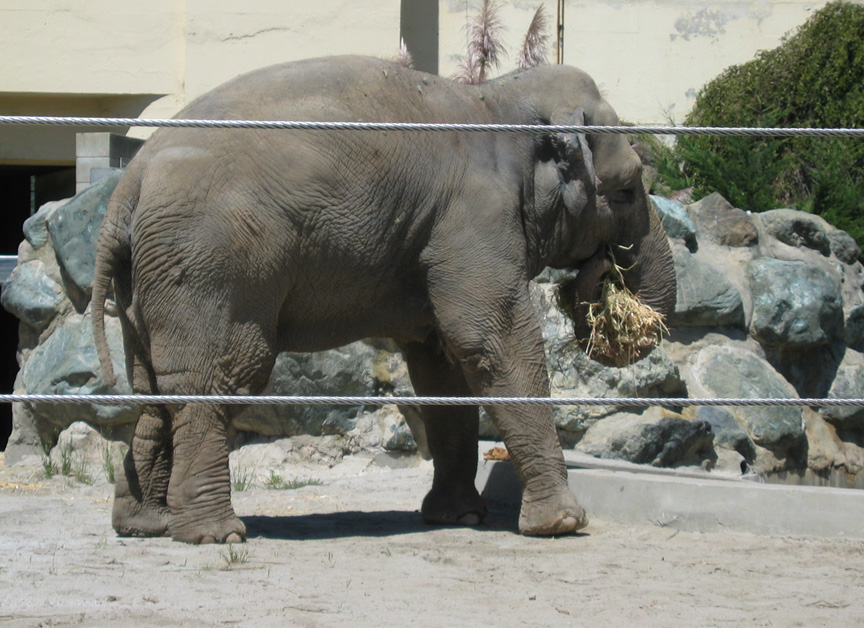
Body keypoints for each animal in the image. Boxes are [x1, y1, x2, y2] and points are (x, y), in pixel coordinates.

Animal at [91, 55, 680, 544]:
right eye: (626, 188)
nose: (600, 270)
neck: (496, 97)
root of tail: (129, 184)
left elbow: (442, 365)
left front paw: (457, 517)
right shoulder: (473, 217)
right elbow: (489, 341)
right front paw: (561, 524)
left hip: (149, 279)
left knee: (154, 385)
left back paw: (144, 525)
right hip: (212, 265)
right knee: (222, 377)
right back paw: (216, 535)